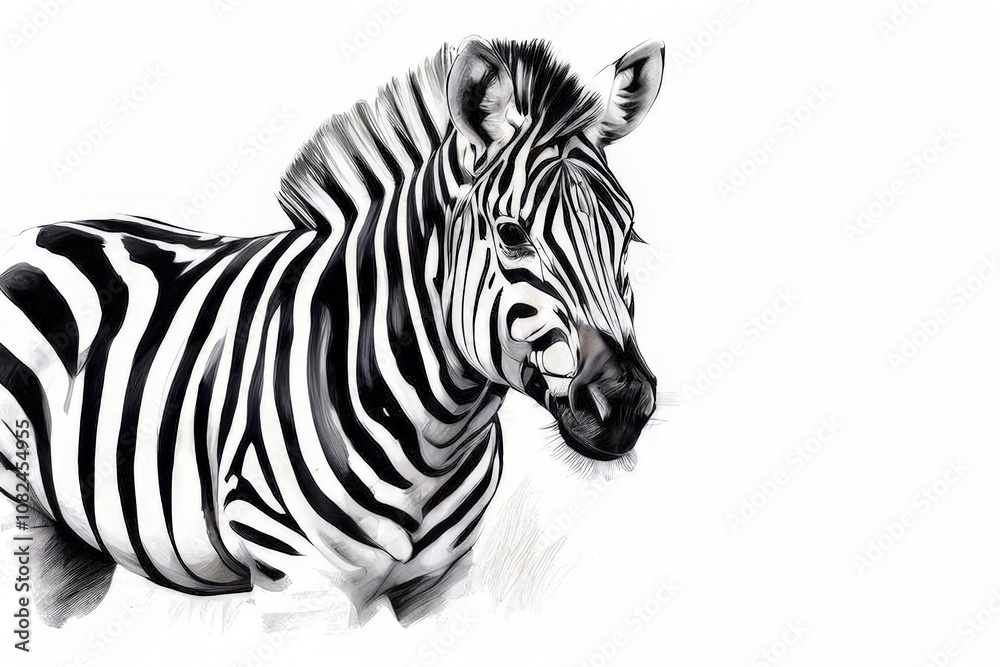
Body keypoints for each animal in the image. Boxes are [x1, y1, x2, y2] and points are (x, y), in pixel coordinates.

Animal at [0, 36, 663, 626]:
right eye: (511, 234)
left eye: (630, 234)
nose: (626, 401)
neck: (435, 435)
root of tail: (42, 232)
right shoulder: (299, 585)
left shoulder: (441, 583)